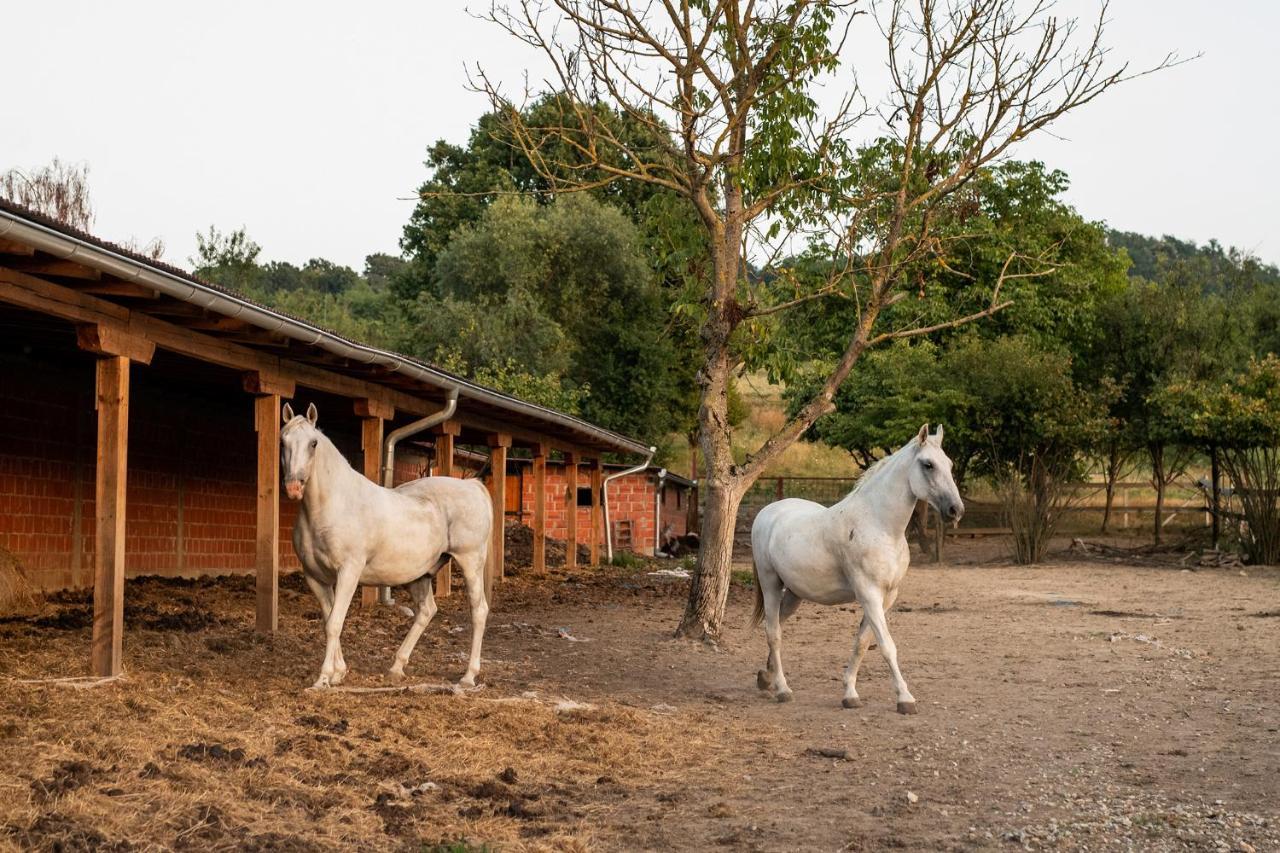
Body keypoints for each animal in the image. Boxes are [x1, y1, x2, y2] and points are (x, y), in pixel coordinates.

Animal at [277, 402, 491, 686]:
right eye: (283, 441)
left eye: (313, 443)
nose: (294, 487)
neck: (332, 504)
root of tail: (473, 486)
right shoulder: (315, 577)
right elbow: (328, 621)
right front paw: (338, 672)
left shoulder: (348, 572)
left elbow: (335, 623)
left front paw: (323, 679)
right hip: (420, 575)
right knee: (427, 611)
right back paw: (397, 666)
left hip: (470, 562)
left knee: (478, 611)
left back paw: (468, 676)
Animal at [747, 422, 962, 712]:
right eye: (928, 464)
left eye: (949, 464)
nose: (955, 510)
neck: (879, 526)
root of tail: (767, 512)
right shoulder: (868, 594)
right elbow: (886, 645)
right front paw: (905, 698)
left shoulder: (887, 597)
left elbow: (862, 643)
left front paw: (850, 694)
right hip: (770, 583)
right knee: (774, 633)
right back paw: (783, 689)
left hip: (794, 593)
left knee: (777, 625)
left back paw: (766, 678)